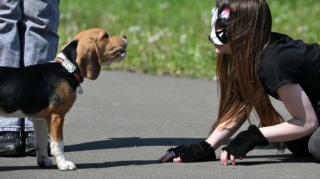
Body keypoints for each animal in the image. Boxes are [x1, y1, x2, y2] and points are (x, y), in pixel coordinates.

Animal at [0, 28, 127, 171]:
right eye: (105, 36)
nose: (125, 36)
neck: (67, 68)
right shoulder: (57, 116)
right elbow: (58, 143)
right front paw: (63, 164)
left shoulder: (40, 119)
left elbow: (42, 141)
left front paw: (44, 161)